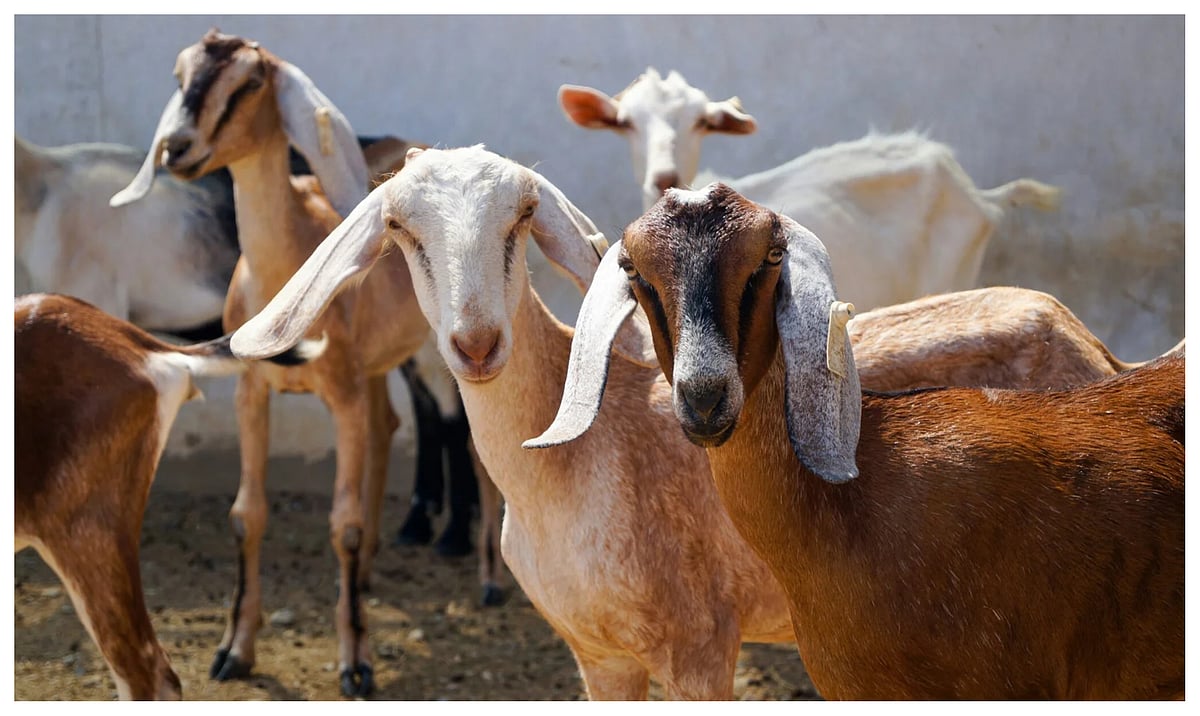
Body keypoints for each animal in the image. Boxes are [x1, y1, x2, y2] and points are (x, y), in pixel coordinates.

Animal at [110, 29, 431, 697]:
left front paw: (356, 663)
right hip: (373, 371)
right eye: (180, 74)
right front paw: (235, 650)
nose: (178, 147)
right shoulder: (251, 393)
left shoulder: (340, 397)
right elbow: (246, 514)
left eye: (251, 81)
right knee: (387, 427)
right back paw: (367, 576)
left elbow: (343, 525)